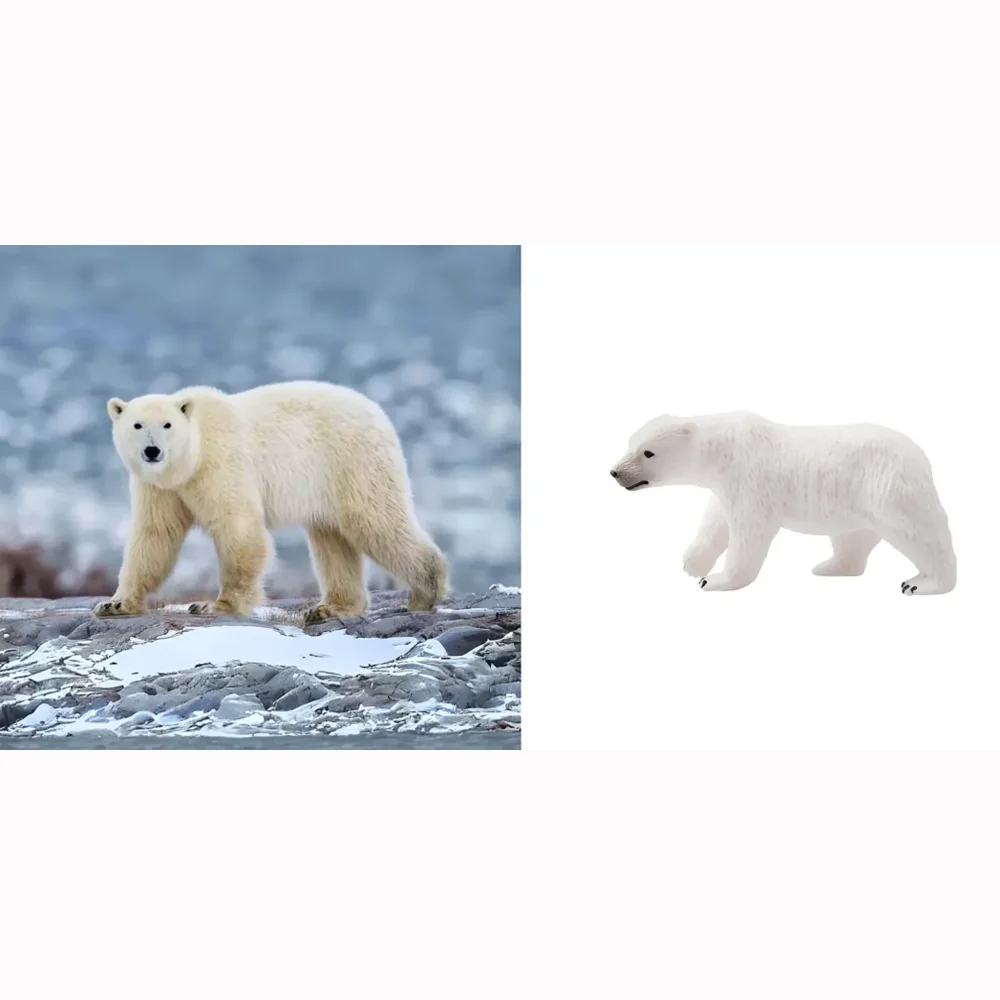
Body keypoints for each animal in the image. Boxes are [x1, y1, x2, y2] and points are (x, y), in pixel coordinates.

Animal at [94, 380, 449, 622]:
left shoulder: (220, 464)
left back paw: (424, 592)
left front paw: (215, 604)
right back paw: (330, 608)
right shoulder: (158, 487)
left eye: (167, 425)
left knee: (376, 522)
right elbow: (155, 536)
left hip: (352, 462)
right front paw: (115, 603)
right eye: (137, 425)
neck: (190, 460)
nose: (152, 451)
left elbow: (238, 527)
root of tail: (379, 413)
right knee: (332, 540)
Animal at [610, 411, 956, 595]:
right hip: (853, 505)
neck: (723, 450)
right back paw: (830, 566)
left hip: (889, 490)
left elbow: (749, 534)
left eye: (648, 452)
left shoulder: (750, 480)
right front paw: (692, 562)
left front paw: (715, 579)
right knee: (851, 539)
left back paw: (923, 583)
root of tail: (921, 455)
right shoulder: (727, 485)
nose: (615, 472)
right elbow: (715, 520)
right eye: (630, 443)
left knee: (920, 534)